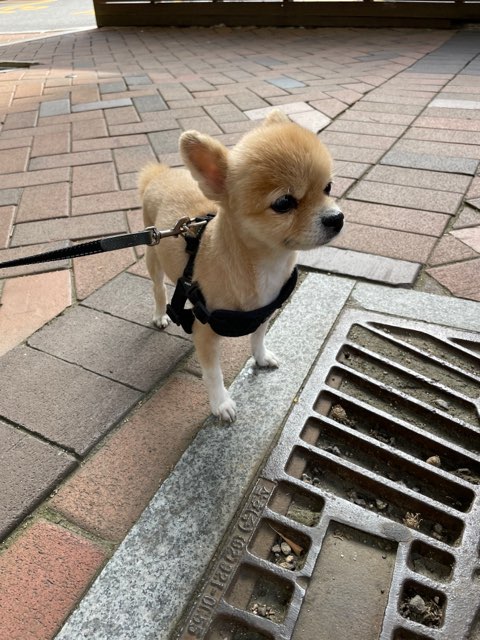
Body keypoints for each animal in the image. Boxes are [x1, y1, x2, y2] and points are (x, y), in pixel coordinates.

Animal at [139, 110, 343, 422]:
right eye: (284, 203)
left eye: (328, 188)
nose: (337, 218)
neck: (266, 264)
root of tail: (161, 174)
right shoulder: (205, 334)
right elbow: (213, 373)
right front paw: (221, 403)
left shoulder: (265, 311)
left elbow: (258, 337)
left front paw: (261, 357)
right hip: (153, 255)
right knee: (159, 290)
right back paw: (161, 314)